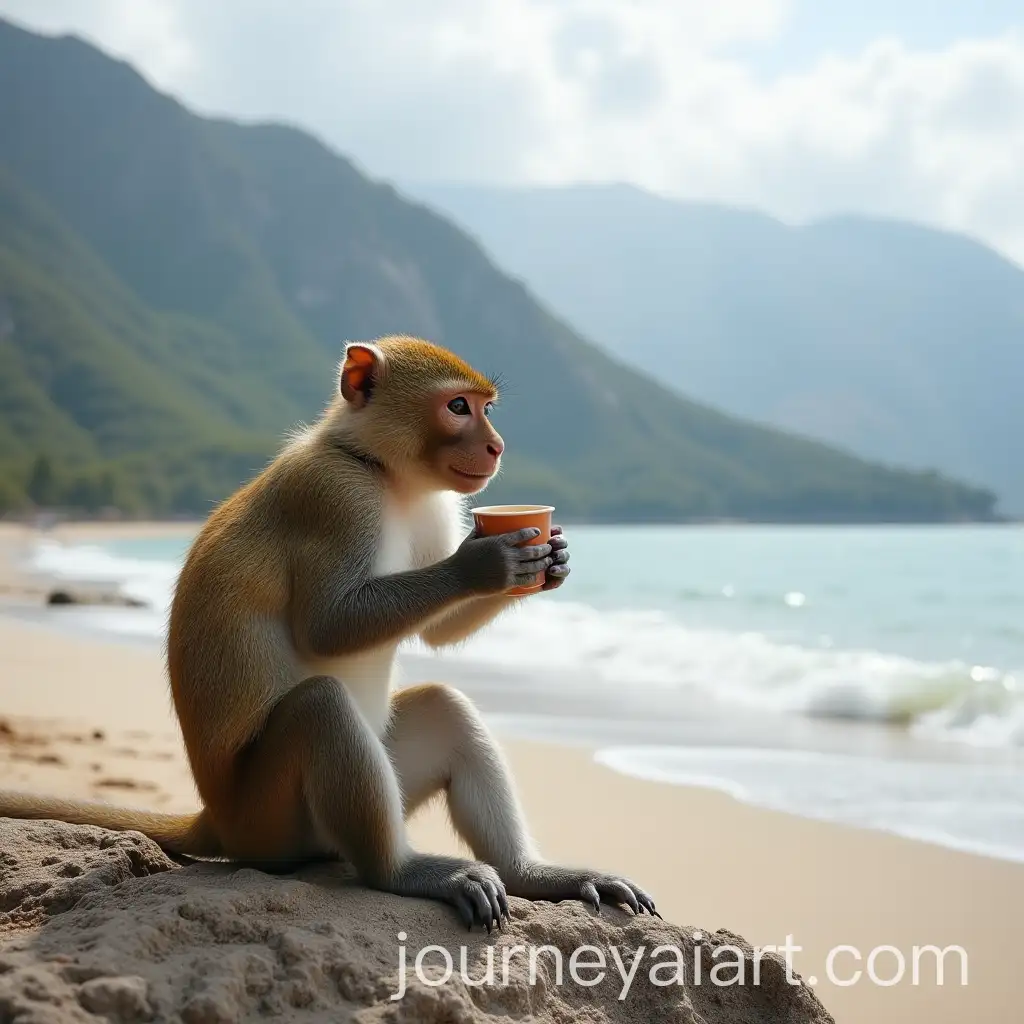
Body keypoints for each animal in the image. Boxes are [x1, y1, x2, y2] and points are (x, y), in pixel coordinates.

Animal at [0, 335, 658, 931]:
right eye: (458, 407)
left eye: (486, 408)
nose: (497, 446)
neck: (383, 472)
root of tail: (216, 817)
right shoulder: (336, 499)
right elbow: (327, 628)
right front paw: (485, 564)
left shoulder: (434, 504)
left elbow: (438, 634)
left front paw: (552, 558)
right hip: (270, 821)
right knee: (321, 708)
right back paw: (404, 872)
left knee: (442, 707)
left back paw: (531, 875)